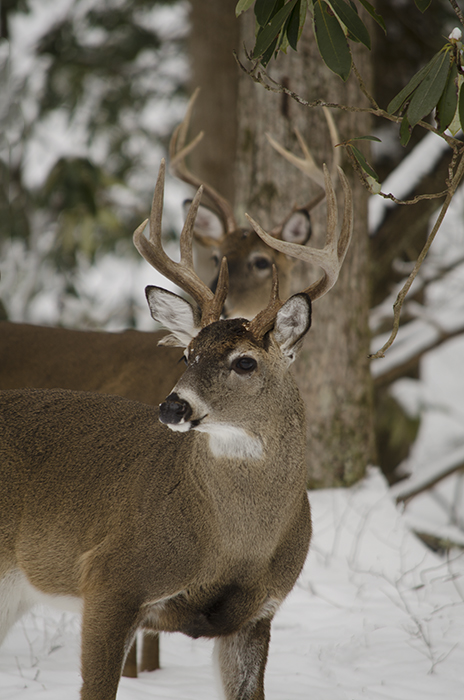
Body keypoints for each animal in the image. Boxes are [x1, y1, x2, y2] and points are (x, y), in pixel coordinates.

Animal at [0, 93, 341, 677]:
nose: (173, 407)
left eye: (246, 363)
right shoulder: (109, 579)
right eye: (187, 353)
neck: (231, 547)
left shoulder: (258, 615)